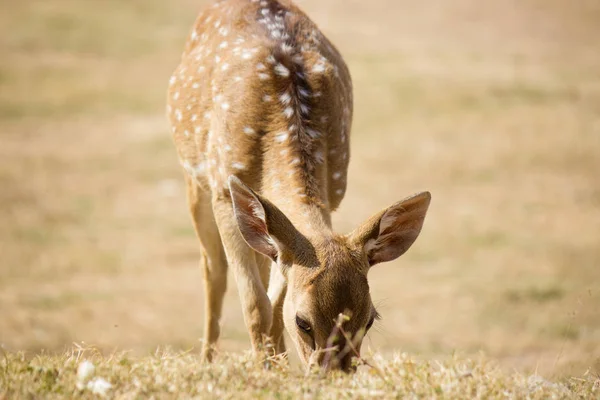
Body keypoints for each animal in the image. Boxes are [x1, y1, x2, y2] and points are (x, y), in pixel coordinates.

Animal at [168, 0, 432, 372]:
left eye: (370, 319)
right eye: (303, 322)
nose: (334, 375)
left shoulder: (328, 196)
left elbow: (275, 304)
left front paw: (279, 368)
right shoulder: (224, 189)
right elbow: (256, 305)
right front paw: (266, 371)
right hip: (195, 175)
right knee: (213, 271)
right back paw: (207, 361)